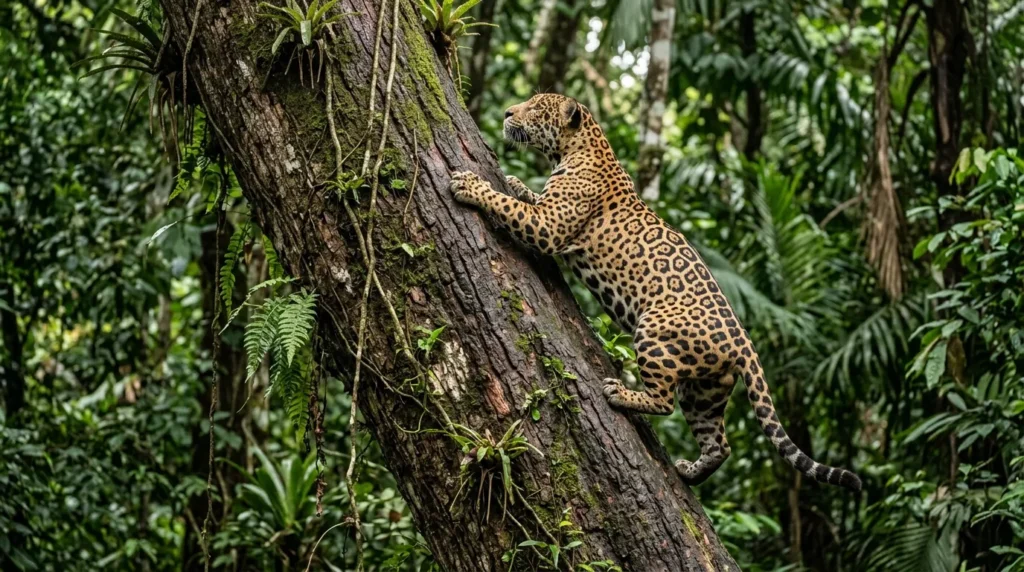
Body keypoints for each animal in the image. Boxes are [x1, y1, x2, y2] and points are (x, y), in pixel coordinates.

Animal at [448, 93, 862, 491]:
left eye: (535, 108)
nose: (507, 112)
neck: (578, 148)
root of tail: (744, 342)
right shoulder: (549, 212)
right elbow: (526, 198)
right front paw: (517, 182)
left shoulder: (548, 227)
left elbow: (508, 206)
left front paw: (472, 186)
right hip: (706, 391)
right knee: (720, 444)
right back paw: (690, 472)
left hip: (654, 333)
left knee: (665, 402)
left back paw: (621, 394)